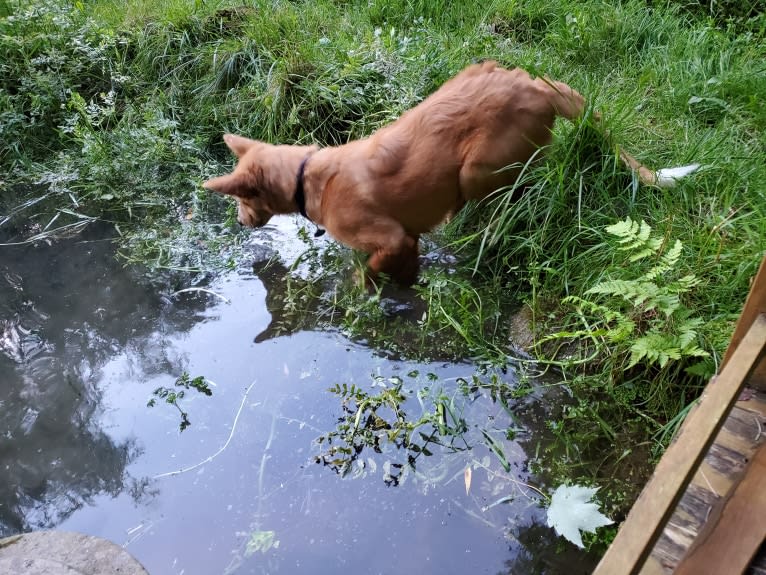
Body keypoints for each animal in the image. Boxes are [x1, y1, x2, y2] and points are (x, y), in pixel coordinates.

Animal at [204, 60, 656, 286]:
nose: (239, 223)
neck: (307, 175)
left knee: (522, 187)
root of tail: (537, 86)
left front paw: (361, 294)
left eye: (241, 198)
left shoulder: (391, 238)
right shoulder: (410, 240)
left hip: (478, 169)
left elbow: (368, 271)